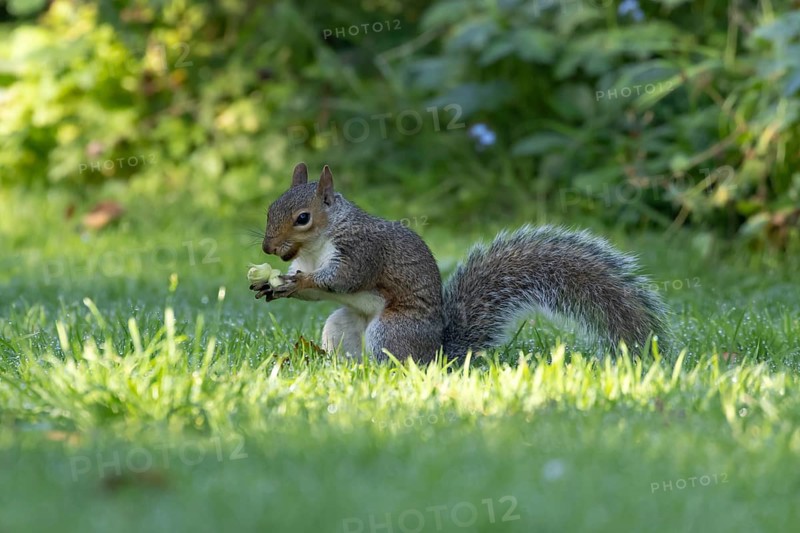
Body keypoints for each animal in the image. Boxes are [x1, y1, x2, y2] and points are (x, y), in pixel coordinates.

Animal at [250, 163, 668, 362]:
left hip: (392, 330)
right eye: (270, 208)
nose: (268, 247)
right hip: (343, 326)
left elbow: (342, 279)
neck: (317, 244)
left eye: (302, 218)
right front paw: (271, 284)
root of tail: (439, 354)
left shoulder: (360, 252)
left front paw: (297, 283)